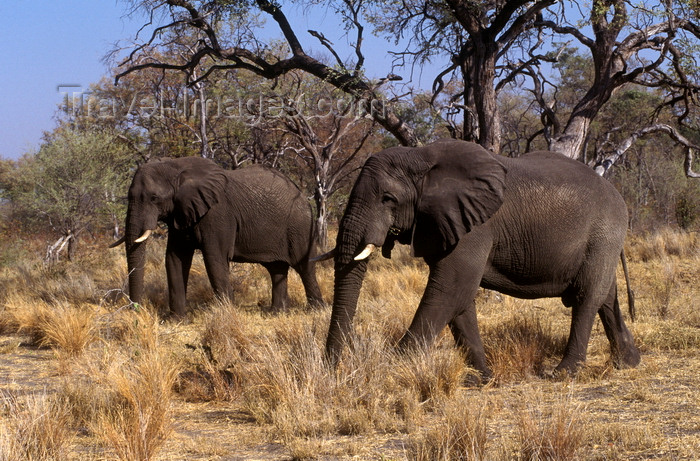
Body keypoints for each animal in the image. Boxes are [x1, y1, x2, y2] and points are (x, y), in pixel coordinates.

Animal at [111, 156, 326, 314]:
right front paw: (177, 319)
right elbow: (174, 259)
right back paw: (276, 313)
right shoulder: (180, 213)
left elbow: (214, 259)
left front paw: (228, 314)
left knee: (304, 266)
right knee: (277, 268)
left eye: (154, 198)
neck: (176, 167)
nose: (136, 310)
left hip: (301, 226)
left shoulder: (217, 214)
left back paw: (316, 310)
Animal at [322, 137, 640, 380]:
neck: (420, 156)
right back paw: (628, 362)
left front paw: (392, 368)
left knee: (587, 297)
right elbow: (460, 299)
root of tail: (619, 196)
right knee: (606, 297)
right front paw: (483, 378)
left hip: (604, 233)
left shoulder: (474, 226)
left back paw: (562, 373)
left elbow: (450, 289)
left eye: (388, 199)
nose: (332, 369)